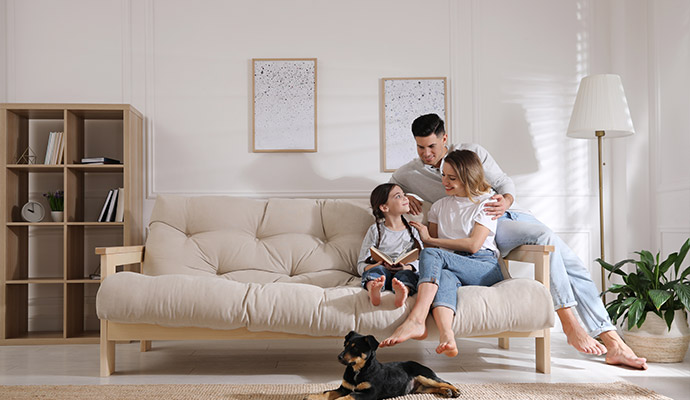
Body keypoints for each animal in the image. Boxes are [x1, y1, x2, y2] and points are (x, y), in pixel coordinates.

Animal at [304, 332, 460, 400]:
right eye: (345, 345)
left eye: (355, 348)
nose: (339, 357)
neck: (357, 370)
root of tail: (419, 363)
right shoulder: (344, 388)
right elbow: (328, 392)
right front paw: (312, 396)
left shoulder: (370, 392)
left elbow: (350, 396)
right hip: (418, 388)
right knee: (433, 388)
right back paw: (446, 392)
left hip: (425, 375)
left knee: (444, 382)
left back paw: (455, 391)